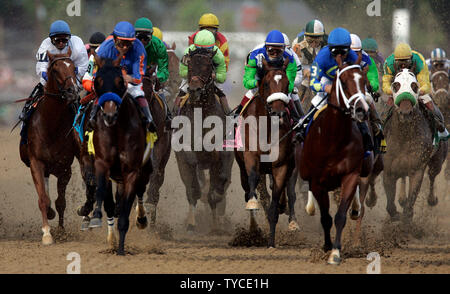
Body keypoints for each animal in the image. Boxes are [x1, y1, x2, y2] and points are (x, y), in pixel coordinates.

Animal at [19, 48, 79, 245]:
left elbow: (61, 202)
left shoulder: (65, 167)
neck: (51, 124)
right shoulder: (36, 163)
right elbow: (43, 199)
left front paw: (60, 230)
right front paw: (46, 233)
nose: (72, 91)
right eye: (55, 70)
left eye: (74, 67)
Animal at [89, 56, 154, 255]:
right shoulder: (102, 164)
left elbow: (125, 211)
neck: (116, 129)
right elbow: (102, 193)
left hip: (145, 169)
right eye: (98, 81)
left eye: (120, 81)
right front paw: (96, 216)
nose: (109, 115)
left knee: (139, 191)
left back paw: (141, 219)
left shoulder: (132, 171)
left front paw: (121, 250)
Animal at [174, 47, 234, 232]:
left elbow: (218, 187)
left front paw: (216, 224)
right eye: (190, 66)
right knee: (192, 188)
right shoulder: (185, 152)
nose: (195, 90)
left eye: (208, 66)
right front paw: (192, 224)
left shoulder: (222, 155)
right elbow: (194, 188)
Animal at [236, 57, 296, 248]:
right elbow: (253, 182)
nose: (278, 112)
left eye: (287, 84)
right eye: (267, 83)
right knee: (249, 188)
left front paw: (271, 241)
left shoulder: (281, 164)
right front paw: (252, 204)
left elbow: (276, 196)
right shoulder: (251, 156)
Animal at [298, 55, 370, 264]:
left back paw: (355, 208)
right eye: (343, 83)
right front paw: (327, 246)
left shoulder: (350, 175)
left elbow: (339, 216)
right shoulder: (317, 182)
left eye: (365, 82)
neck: (333, 138)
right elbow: (325, 218)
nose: (362, 110)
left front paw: (336, 252)